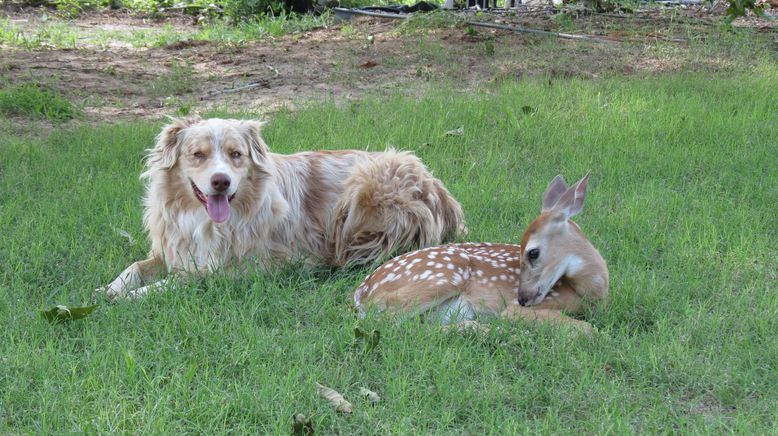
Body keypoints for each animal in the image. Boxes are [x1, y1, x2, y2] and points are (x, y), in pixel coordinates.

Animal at [100, 117, 464, 298]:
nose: (221, 182)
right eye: (198, 155)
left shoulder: (243, 267)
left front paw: (132, 296)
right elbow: (133, 268)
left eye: (236, 154)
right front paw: (106, 290)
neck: (207, 222)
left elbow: (181, 281)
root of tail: (440, 189)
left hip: (367, 185)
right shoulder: (173, 249)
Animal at [352, 174, 608, 334]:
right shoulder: (517, 310)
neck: (589, 294)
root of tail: (360, 294)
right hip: (444, 275)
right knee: (389, 325)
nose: (523, 298)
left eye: (532, 253)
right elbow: (589, 330)